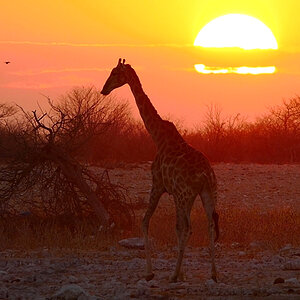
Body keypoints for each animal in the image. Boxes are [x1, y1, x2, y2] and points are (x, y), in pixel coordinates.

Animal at [101, 59, 220, 284]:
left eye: (114, 73)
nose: (104, 90)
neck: (156, 136)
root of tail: (205, 175)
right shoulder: (172, 192)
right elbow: (175, 228)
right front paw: (181, 273)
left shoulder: (157, 185)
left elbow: (145, 222)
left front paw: (151, 272)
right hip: (207, 193)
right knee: (210, 225)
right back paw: (214, 274)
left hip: (185, 195)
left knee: (189, 228)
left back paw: (173, 275)